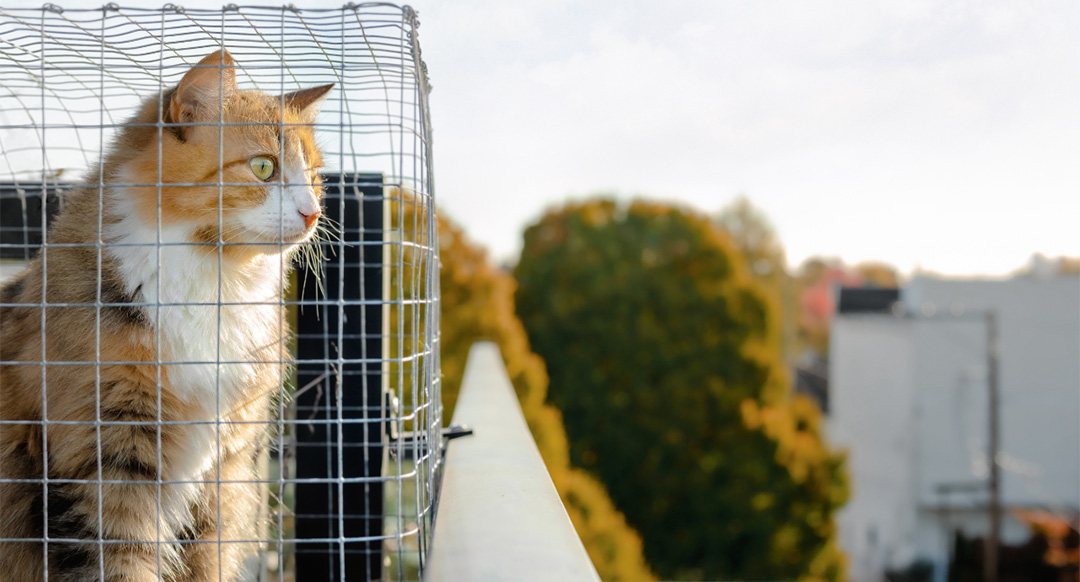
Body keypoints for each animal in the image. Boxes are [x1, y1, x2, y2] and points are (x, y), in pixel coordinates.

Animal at [0, 51, 332, 582]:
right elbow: (124, 562)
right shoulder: (109, 458)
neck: (216, 287)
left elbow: (205, 563)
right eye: (264, 167)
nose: (313, 213)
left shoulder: (222, 473)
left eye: (316, 178)